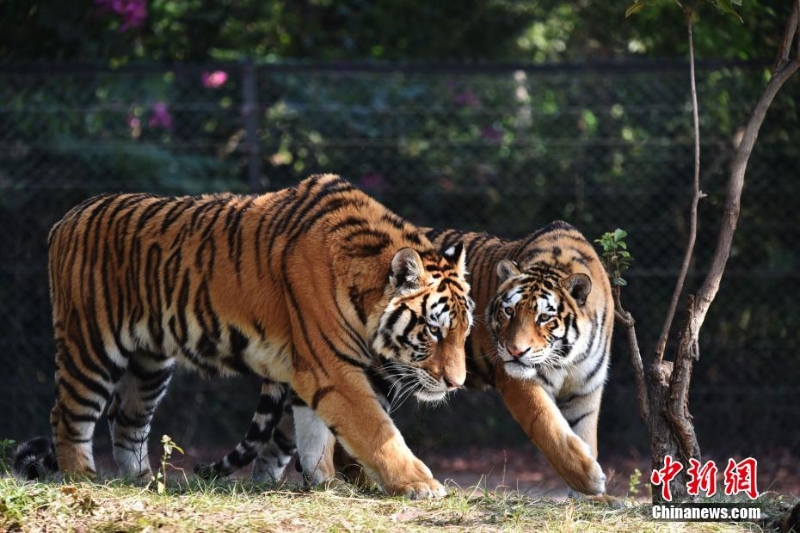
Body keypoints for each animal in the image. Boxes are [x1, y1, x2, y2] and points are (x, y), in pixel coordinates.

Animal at [12, 175, 476, 498]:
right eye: (433, 330)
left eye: (464, 330)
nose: (457, 384)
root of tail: (65, 219)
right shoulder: (332, 369)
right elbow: (376, 431)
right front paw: (419, 484)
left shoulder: (311, 370)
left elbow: (314, 435)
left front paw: (325, 483)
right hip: (90, 346)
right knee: (68, 416)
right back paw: (83, 479)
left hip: (149, 364)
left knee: (126, 421)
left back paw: (141, 482)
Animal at [203, 219, 608, 494]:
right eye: (508, 312)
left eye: (544, 318)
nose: (513, 349)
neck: (566, 357)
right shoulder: (518, 379)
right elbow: (549, 427)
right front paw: (590, 478)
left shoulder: (587, 390)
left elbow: (585, 434)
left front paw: (592, 495)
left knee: (281, 440)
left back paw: (267, 486)